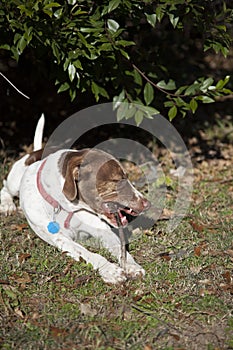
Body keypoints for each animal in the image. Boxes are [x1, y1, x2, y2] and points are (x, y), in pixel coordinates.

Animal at [0, 115, 149, 284]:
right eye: (116, 180)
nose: (147, 204)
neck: (67, 209)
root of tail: (36, 151)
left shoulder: (105, 232)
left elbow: (120, 249)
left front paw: (131, 266)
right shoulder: (63, 240)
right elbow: (89, 254)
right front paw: (110, 270)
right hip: (14, 182)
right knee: (5, 187)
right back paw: (7, 205)